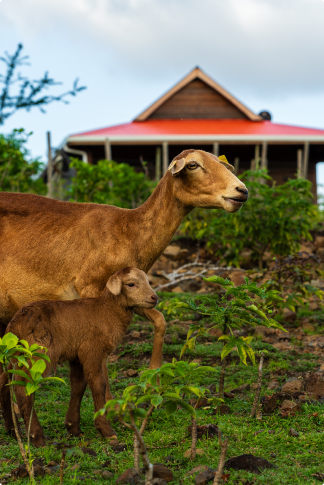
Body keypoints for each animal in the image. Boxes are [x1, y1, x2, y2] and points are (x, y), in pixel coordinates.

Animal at [0, 147, 248, 366]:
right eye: (193, 165)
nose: (242, 190)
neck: (129, 230)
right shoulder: (90, 287)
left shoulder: (132, 291)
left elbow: (160, 320)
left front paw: (154, 372)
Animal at [0, 264, 158, 446]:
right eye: (131, 284)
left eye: (147, 281)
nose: (154, 298)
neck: (107, 311)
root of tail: (16, 323)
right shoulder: (92, 350)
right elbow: (99, 384)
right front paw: (107, 431)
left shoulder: (77, 355)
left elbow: (78, 385)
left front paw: (73, 428)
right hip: (39, 353)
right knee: (23, 387)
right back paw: (36, 436)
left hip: (15, 354)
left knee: (4, 381)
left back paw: (13, 431)